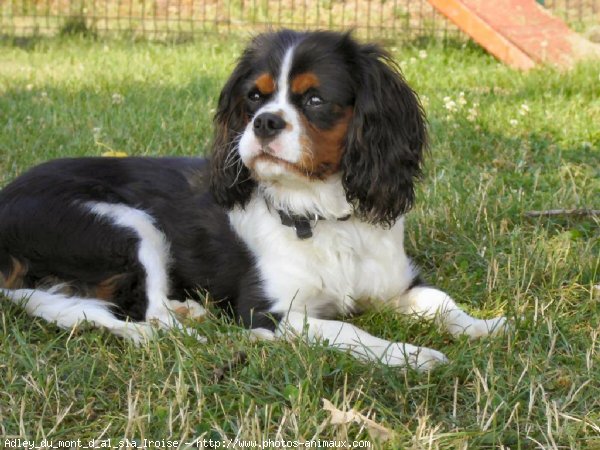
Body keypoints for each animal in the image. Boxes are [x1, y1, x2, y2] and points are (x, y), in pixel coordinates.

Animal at [0, 29, 506, 370]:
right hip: (129, 223)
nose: (264, 122)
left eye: (315, 99)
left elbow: (439, 301)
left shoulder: (398, 284)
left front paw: (484, 326)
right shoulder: (271, 309)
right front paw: (411, 354)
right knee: (155, 315)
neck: (317, 213)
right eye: (254, 97)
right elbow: (345, 328)